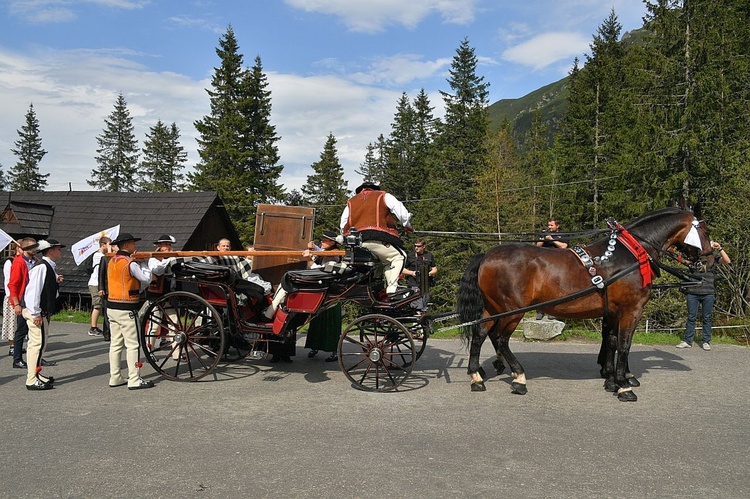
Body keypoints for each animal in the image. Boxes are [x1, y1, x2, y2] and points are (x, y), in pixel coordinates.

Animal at [458, 208, 712, 402]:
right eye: (705, 231)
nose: (711, 258)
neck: (630, 253)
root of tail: (486, 255)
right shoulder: (631, 310)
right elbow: (624, 345)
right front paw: (624, 385)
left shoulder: (613, 311)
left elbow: (611, 342)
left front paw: (611, 379)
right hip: (511, 311)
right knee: (500, 339)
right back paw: (518, 378)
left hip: (493, 308)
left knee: (480, 334)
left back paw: (477, 377)